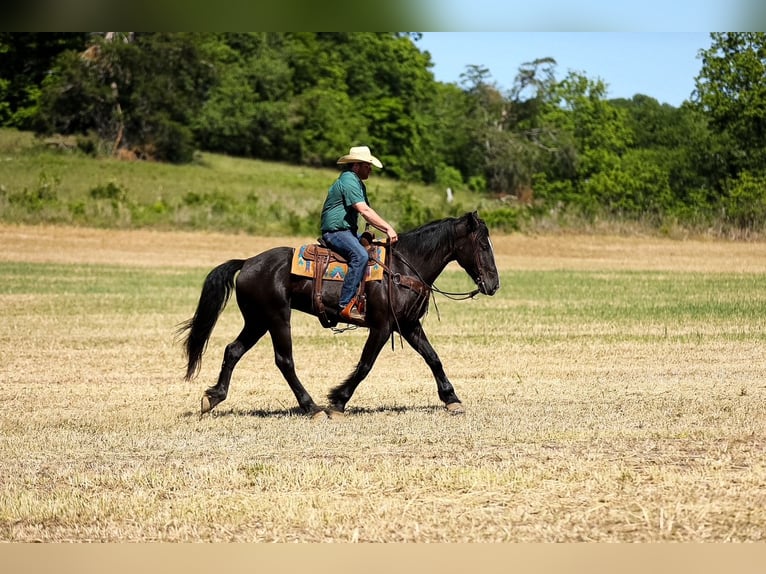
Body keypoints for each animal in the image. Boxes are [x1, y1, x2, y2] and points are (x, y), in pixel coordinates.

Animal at [177, 211, 500, 418]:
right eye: (483, 245)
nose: (494, 284)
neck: (404, 266)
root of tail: (247, 263)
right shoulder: (382, 327)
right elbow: (365, 365)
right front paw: (338, 401)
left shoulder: (408, 325)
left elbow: (433, 358)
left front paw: (451, 399)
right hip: (277, 318)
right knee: (284, 360)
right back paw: (312, 408)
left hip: (257, 321)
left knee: (233, 350)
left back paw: (213, 397)